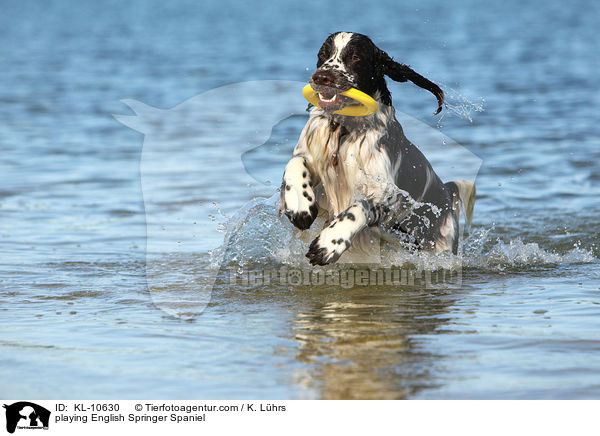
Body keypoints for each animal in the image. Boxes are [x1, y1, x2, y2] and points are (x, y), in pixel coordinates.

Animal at [278, 31, 476, 266]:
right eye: (323, 54)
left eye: (355, 57)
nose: (322, 77)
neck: (344, 131)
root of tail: (447, 190)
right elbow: (295, 163)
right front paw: (300, 206)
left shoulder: (386, 194)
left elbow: (358, 209)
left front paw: (328, 244)